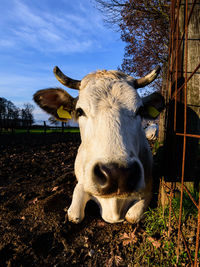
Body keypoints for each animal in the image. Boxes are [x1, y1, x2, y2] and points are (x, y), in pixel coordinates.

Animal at [33, 66, 164, 225]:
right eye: (80, 111)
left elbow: (132, 216)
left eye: (139, 110)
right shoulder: (83, 184)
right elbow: (74, 215)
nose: (117, 174)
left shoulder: (148, 187)